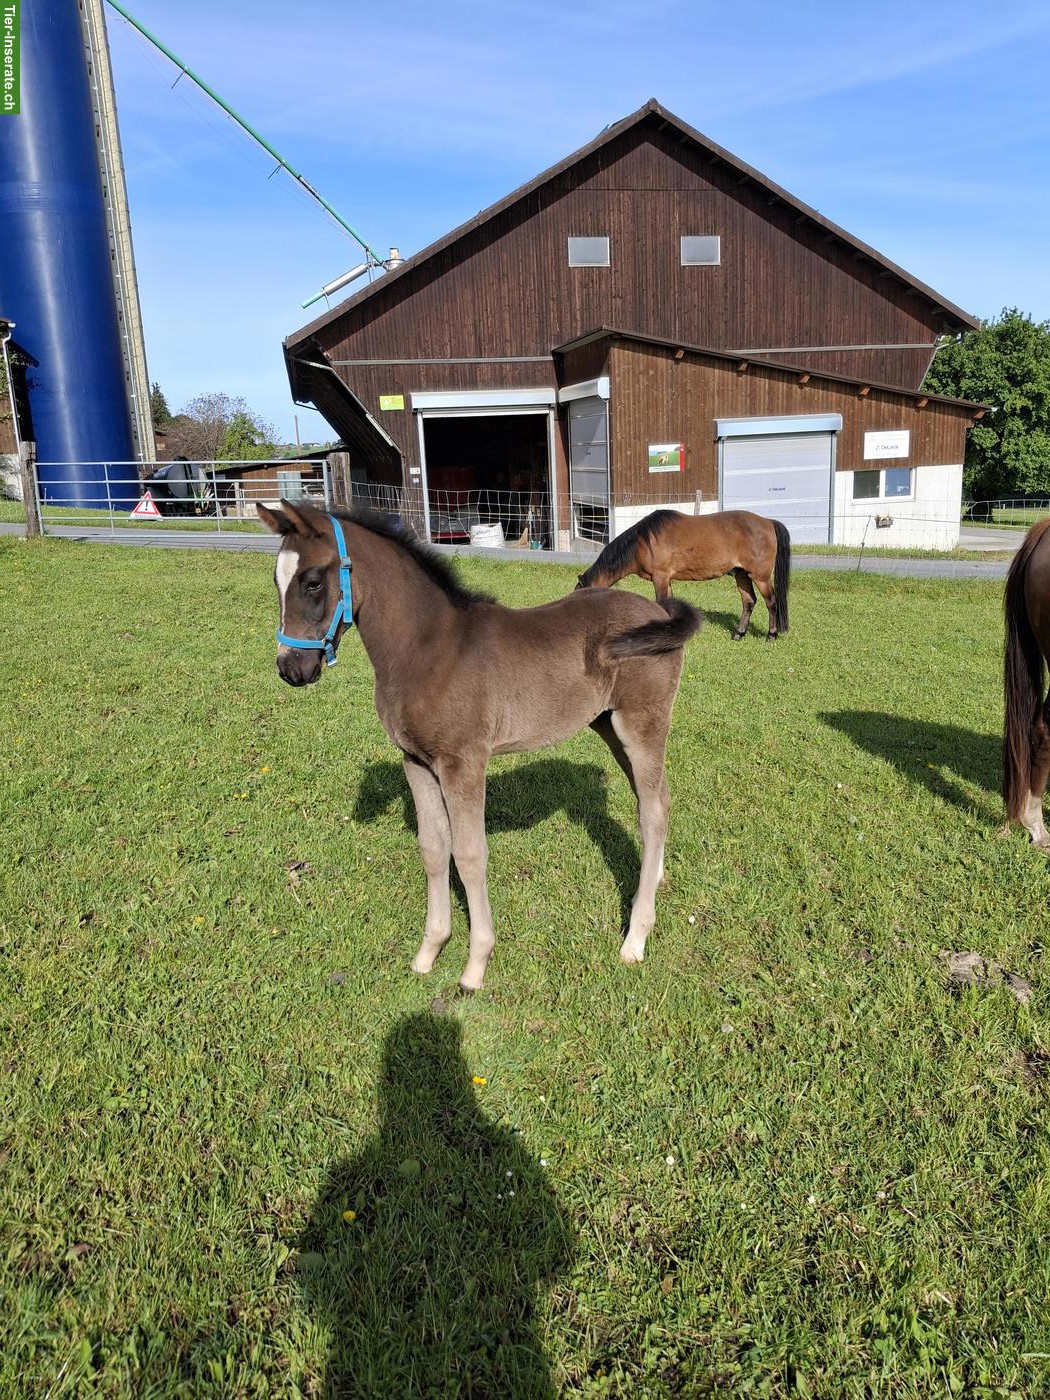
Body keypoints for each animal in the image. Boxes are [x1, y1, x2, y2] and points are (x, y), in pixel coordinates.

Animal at [255, 500, 702, 990]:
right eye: (276, 580)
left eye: (313, 581)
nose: (291, 668)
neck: (427, 649)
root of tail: (658, 612)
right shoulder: (416, 761)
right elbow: (434, 850)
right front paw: (429, 951)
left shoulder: (463, 762)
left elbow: (469, 855)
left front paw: (475, 964)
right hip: (610, 727)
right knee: (655, 800)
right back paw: (654, 882)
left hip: (641, 724)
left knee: (653, 811)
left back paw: (635, 938)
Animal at [577, 508, 791, 641]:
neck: (643, 542)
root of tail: (768, 522)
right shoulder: (666, 579)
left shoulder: (660, 577)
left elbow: (661, 603)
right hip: (742, 575)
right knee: (749, 602)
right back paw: (739, 633)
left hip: (760, 577)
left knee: (771, 602)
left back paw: (771, 635)